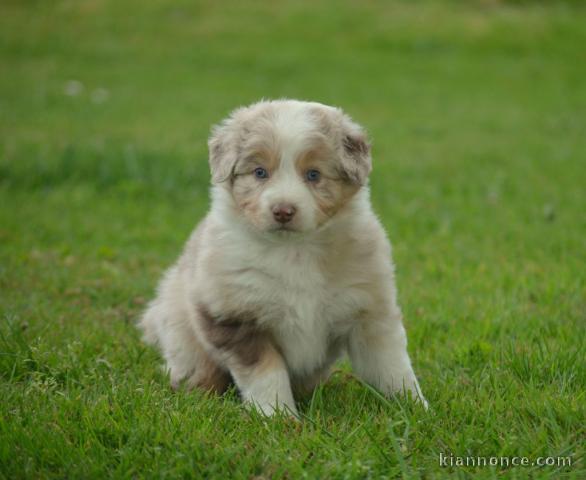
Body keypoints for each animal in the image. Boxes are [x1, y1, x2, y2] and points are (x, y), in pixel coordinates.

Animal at [139, 99, 426, 414]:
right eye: (260, 172)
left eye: (313, 175)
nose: (283, 211)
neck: (295, 251)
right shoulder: (236, 317)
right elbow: (266, 375)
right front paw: (278, 417)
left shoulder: (369, 311)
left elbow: (392, 367)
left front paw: (415, 408)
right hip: (182, 325)